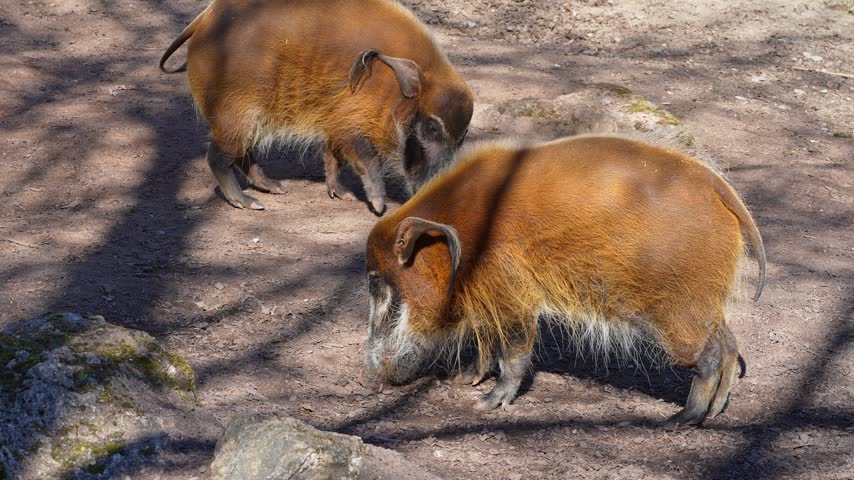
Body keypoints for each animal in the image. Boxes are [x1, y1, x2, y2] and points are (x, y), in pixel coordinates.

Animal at [159, 0, 473, 214]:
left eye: (462, 139)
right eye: (432, 127)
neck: (392, 90)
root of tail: (202, 20)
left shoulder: (336, 121)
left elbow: (333, 157)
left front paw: (343, 195)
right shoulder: (351, 120)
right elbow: (365, 158)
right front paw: (378, 206)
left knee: (243, 154)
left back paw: (277, 188)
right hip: (237, 112)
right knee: (218, 156)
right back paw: (249, 202)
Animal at [363, 135, 766, 426]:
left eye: (378, 281)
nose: (368, 378)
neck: (468, 232)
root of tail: (721, 190)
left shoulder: (512, 291)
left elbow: (513, 348)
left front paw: (487, 403)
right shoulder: (486, 297)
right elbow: (487, 338)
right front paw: (465, 380)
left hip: (679, 311)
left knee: (710, 356)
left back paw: (682, 419)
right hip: (706, 305)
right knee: (729, 344)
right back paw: (716, 412)